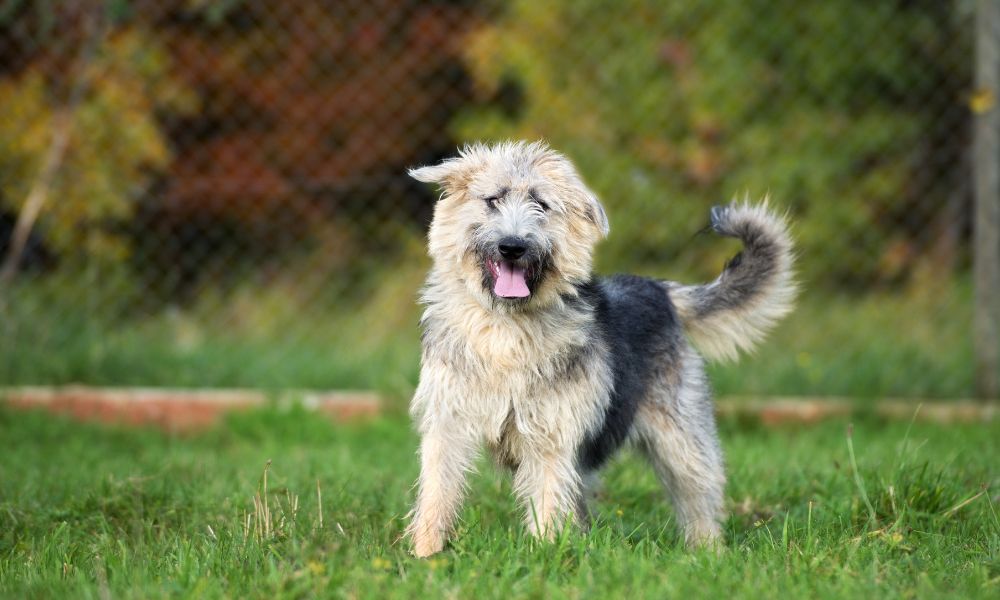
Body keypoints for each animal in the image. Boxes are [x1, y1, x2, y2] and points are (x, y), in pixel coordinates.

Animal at [402, 141, 792, 556]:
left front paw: (544, 556)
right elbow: (437, 493)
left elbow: (547, 502)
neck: (505, 330)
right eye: (493, 200)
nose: (512, 246)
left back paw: (707, 554)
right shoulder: (448, 424)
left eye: (542, 205)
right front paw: (426, 555)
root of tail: (660, 289)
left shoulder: (552, 437)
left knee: (700, 498)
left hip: (682, 440)